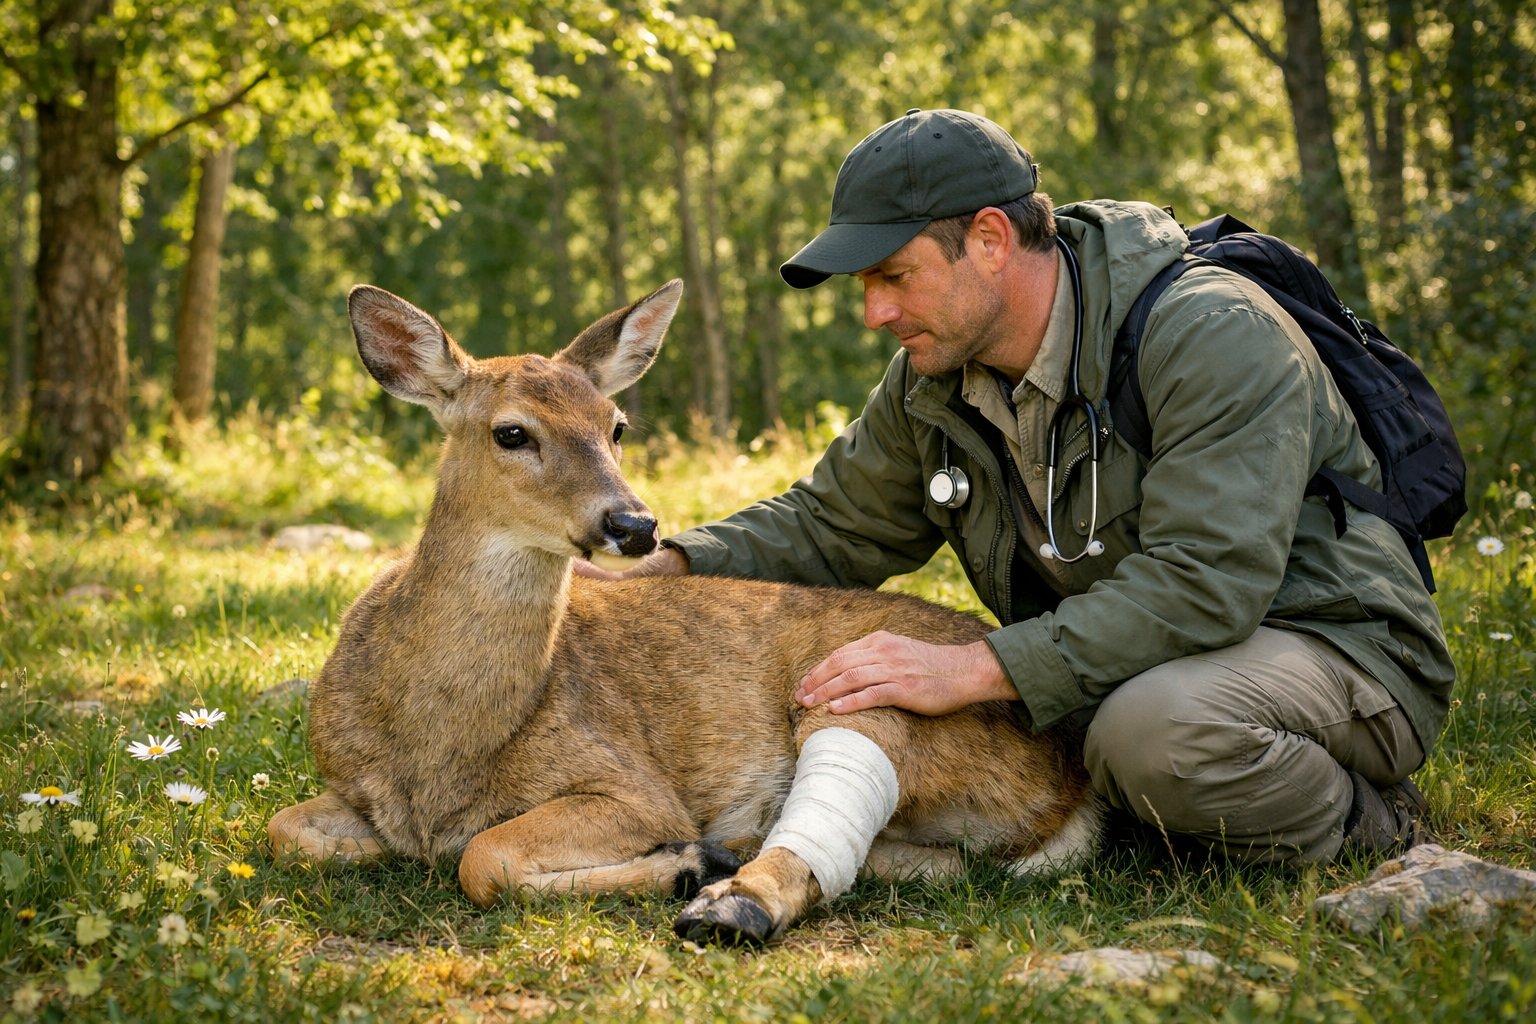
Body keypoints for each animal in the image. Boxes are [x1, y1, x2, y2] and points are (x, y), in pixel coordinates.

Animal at [266, 280, 1102, 946]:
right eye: (510, 431)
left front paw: (684, 860)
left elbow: (484, 856)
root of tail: (1072, 770)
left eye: (616, 426)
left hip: (872, 683)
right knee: (942, 866)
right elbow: (286, 831)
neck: (438, 741)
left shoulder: (630, 785)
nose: (633, 524)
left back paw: (727, 889)